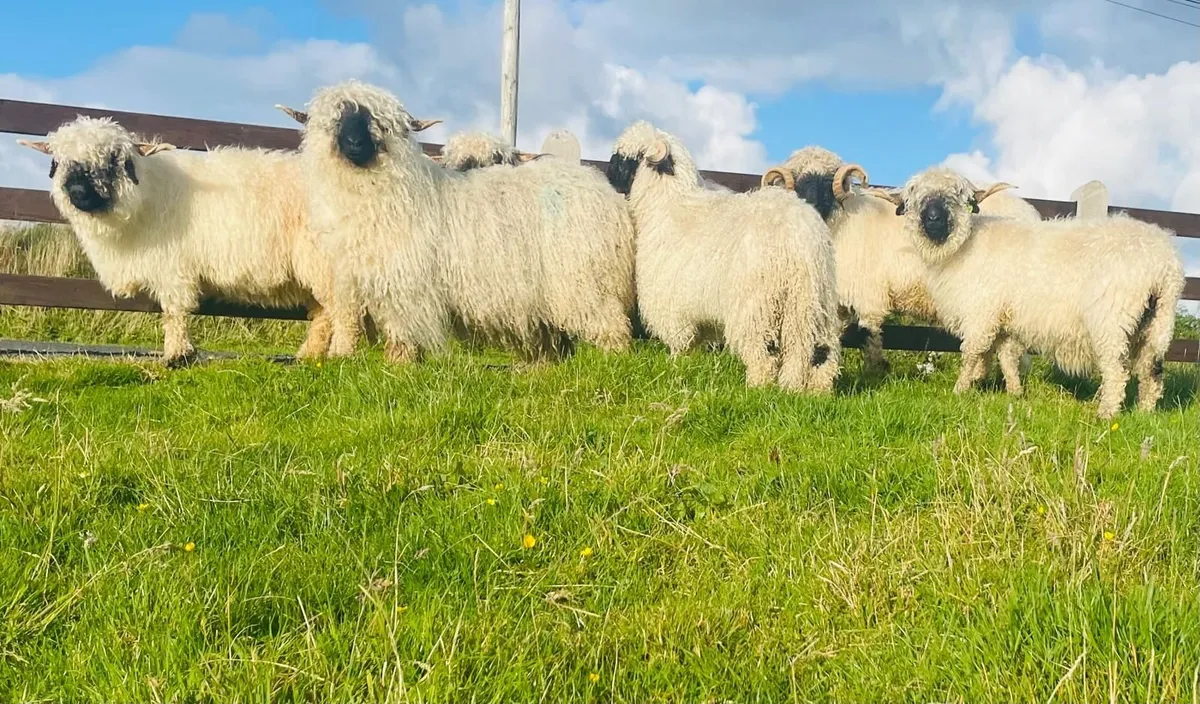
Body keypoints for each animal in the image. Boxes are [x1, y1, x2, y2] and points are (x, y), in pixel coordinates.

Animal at [18, 116, 345, 367]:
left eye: (115, 160)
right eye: (57, 162)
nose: (77, 192)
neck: (144, 198)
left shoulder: (172, 267)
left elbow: (174, 312)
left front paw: (177, 356)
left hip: (325, 260)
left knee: (337, 309)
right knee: (323, 313)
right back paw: (310, 355)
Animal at [277, 80, 636, 363]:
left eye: (377, 122)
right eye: (338, 119)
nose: (354, 144)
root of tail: (607, 193)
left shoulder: (405, 285)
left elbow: (401, 332)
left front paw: (400, 366)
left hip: (585, 282)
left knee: (611, 328)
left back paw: (611, 363)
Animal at [606, 120, 841, 393]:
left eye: (623, 159)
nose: (608, 178)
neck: (666, 205)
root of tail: (803, 239)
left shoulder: (672, 306)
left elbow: (679, 344)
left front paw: (675, 368)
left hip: (759, 306)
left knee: (765, 353)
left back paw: (757, 388)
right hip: (812, 302)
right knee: (819, 353)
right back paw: (807, 392)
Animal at [761, 146, 1041, 376]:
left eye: (828, 180)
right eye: (798, 179)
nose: (810, 202)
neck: (841, 223)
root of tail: (1029, 212)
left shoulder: (869, 295)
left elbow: (869, 334)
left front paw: (875, 371)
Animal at [860, 166, 1185, 418]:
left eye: (958, 195)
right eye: (915, 195)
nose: (934, 219)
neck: (964, 246)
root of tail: (1163, 262)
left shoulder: (982, 312)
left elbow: (972, 353)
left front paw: (960, 390)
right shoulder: (1004, 319)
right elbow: (1006, 357)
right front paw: (1014, 393)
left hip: (1112, 320)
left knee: (1117, 371)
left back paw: (1105, 415)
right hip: (1157, 322)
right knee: (1152, 372)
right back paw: (1143, 414)